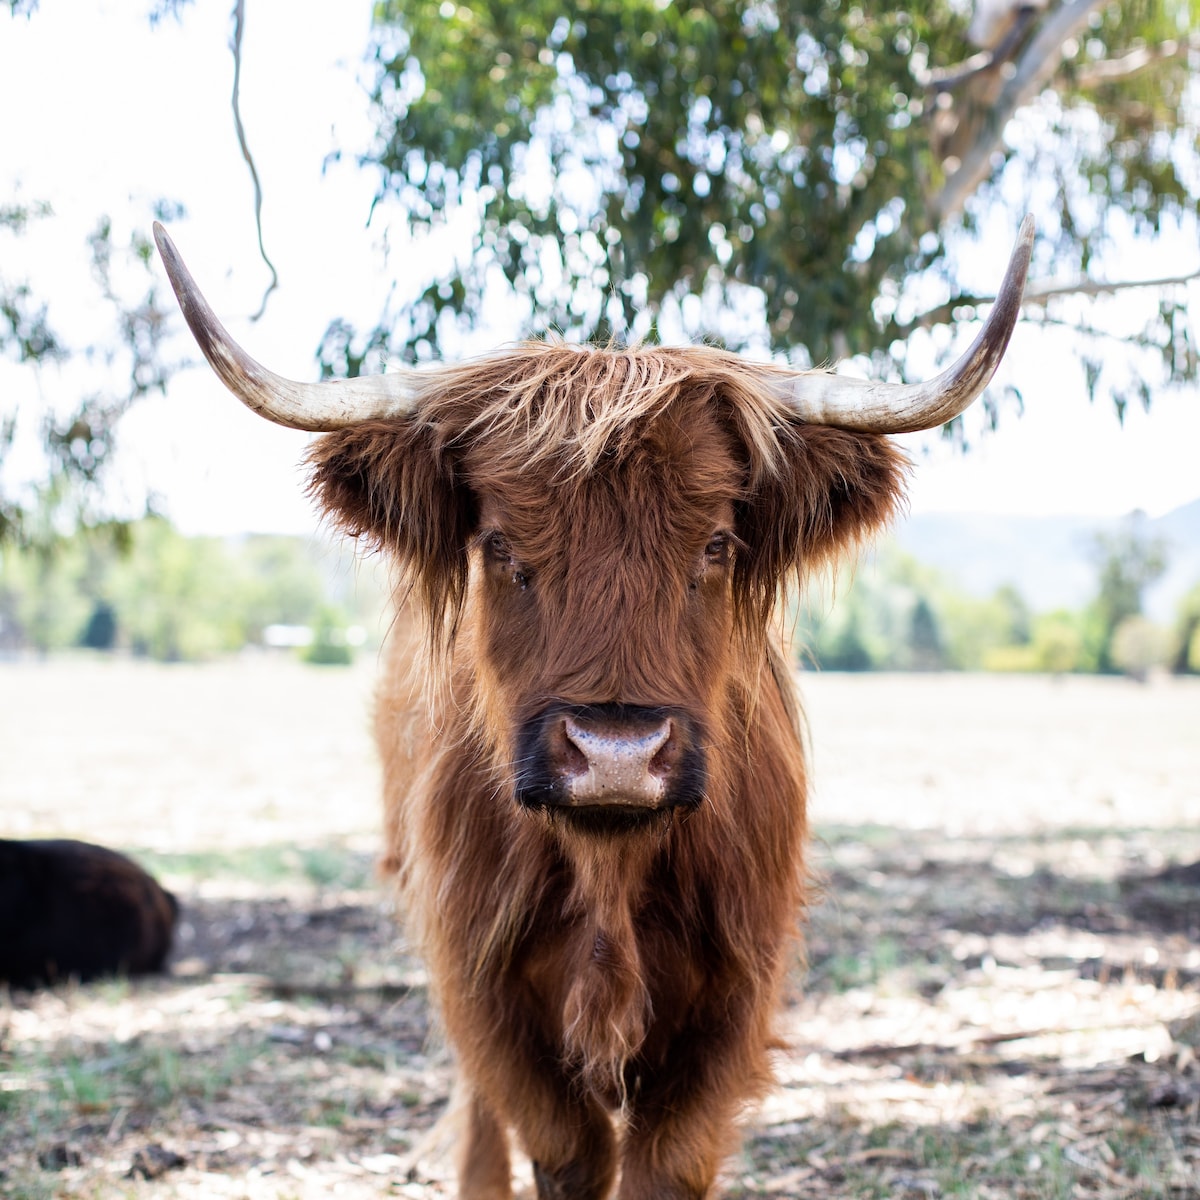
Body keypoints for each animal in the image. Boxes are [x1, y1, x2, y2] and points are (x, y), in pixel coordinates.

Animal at [150, 218, 1032, 1200]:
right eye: (500, 544)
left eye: (717, 543)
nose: (615, 752)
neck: (610, 869)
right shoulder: (482, 976)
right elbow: (565, 1149)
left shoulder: (737, 988)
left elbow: (665, 1164)